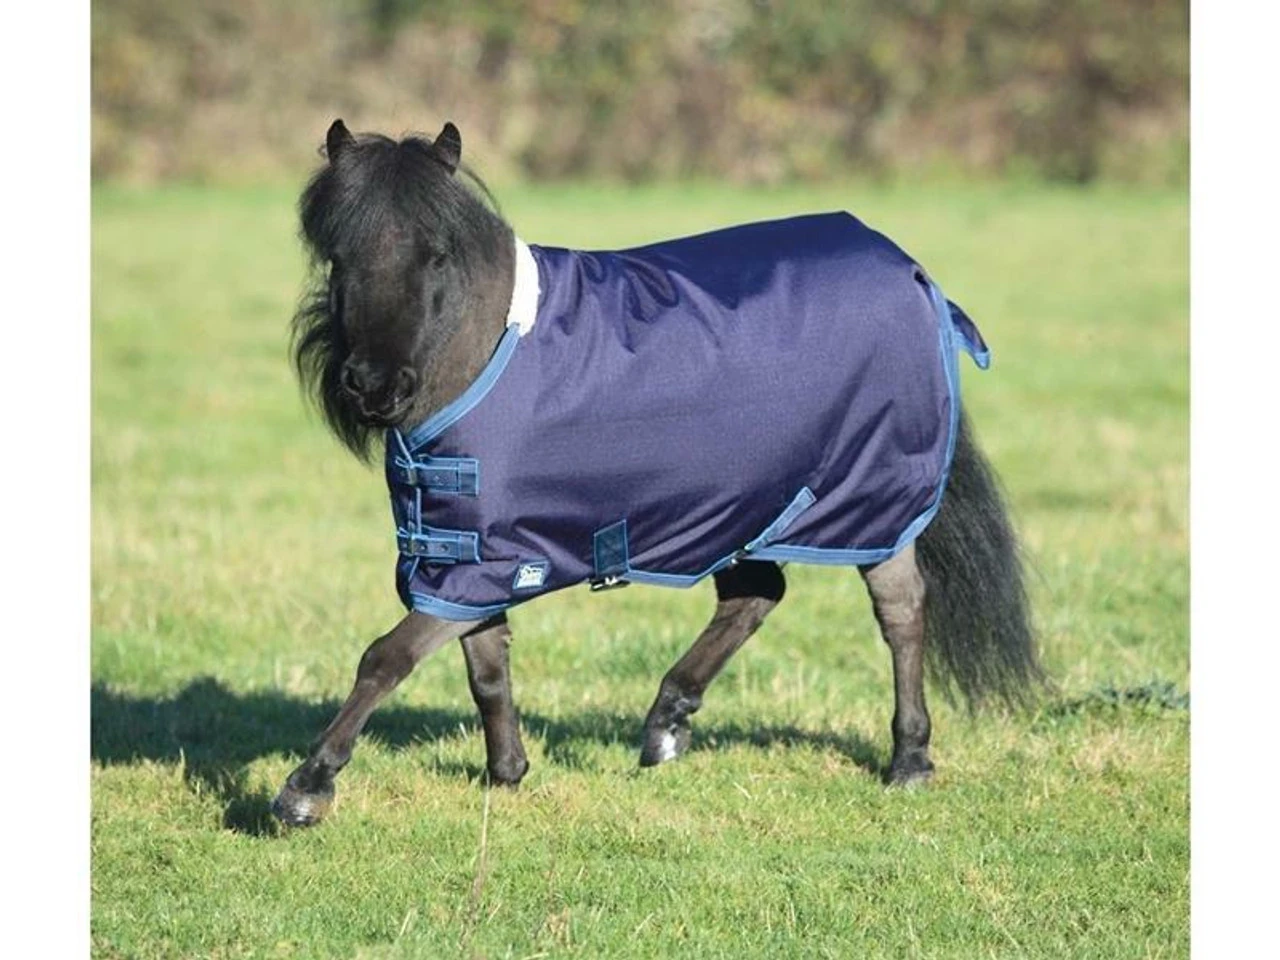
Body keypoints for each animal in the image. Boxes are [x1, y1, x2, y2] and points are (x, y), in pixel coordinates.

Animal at [272, 120, 1041, 827]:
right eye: (339, 256)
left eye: (436, 255)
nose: (374, 386)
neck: (491, 349)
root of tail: (913, 273)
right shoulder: (465, 551)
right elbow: (485, 666)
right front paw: (507, 773)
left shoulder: (476, 561)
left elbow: (387, 658)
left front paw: (306, 787)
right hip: (751, 502)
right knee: (756, 595)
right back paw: (667, 724)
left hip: (871, 501)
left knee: (902, 611)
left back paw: (909, 757)